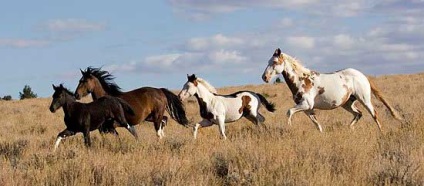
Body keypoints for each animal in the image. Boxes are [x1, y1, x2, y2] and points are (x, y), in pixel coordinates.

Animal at [260, 48, 402, 132]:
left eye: (274, 62)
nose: (264, 77)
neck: (302, 80)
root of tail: (363, 76)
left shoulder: (306, 104)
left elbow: (289, 112)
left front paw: (289, 127)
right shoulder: (307, 109)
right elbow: (317, 124)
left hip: (364, 99)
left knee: (374, 114)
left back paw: (381, 132)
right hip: (347, 103)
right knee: (358, 114)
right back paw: (349, 129)